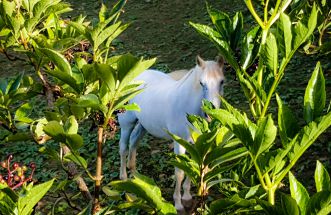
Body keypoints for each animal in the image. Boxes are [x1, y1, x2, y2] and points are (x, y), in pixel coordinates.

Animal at [118, 55, 226, 210]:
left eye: (221, 81)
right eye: (201, 83)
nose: (210, 114)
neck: (187, 107)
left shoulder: (196, 145)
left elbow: (193, 166)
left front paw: (186, 197)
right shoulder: (179, 142)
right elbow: (179, 172)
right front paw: (178, 204)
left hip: (144, 125)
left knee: (134, 142)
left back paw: (138, 178)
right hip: (127, 123)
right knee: (123, 147)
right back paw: (124, 180)